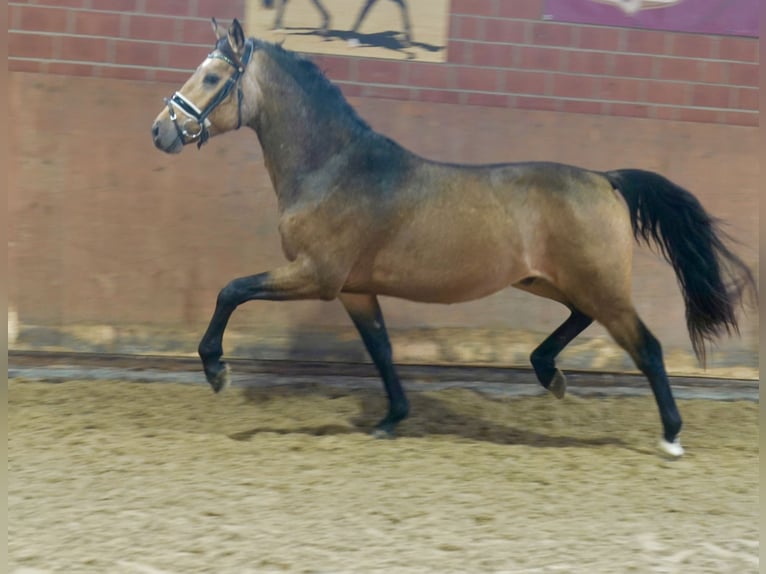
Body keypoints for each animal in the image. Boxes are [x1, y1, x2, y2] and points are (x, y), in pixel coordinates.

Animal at [150, 19, 756, 460]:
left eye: (211, 79)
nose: (160, 131)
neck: (334, 167)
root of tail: (606, 179)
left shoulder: (316, 275)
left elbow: (231, 290)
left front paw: (216, 370)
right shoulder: (353, 289)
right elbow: (381, 349)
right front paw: (392, 419)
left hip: (598, 285)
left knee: (646, 346)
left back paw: (671, 436)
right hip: (550, 280)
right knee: (583, 320)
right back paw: (549, 374)